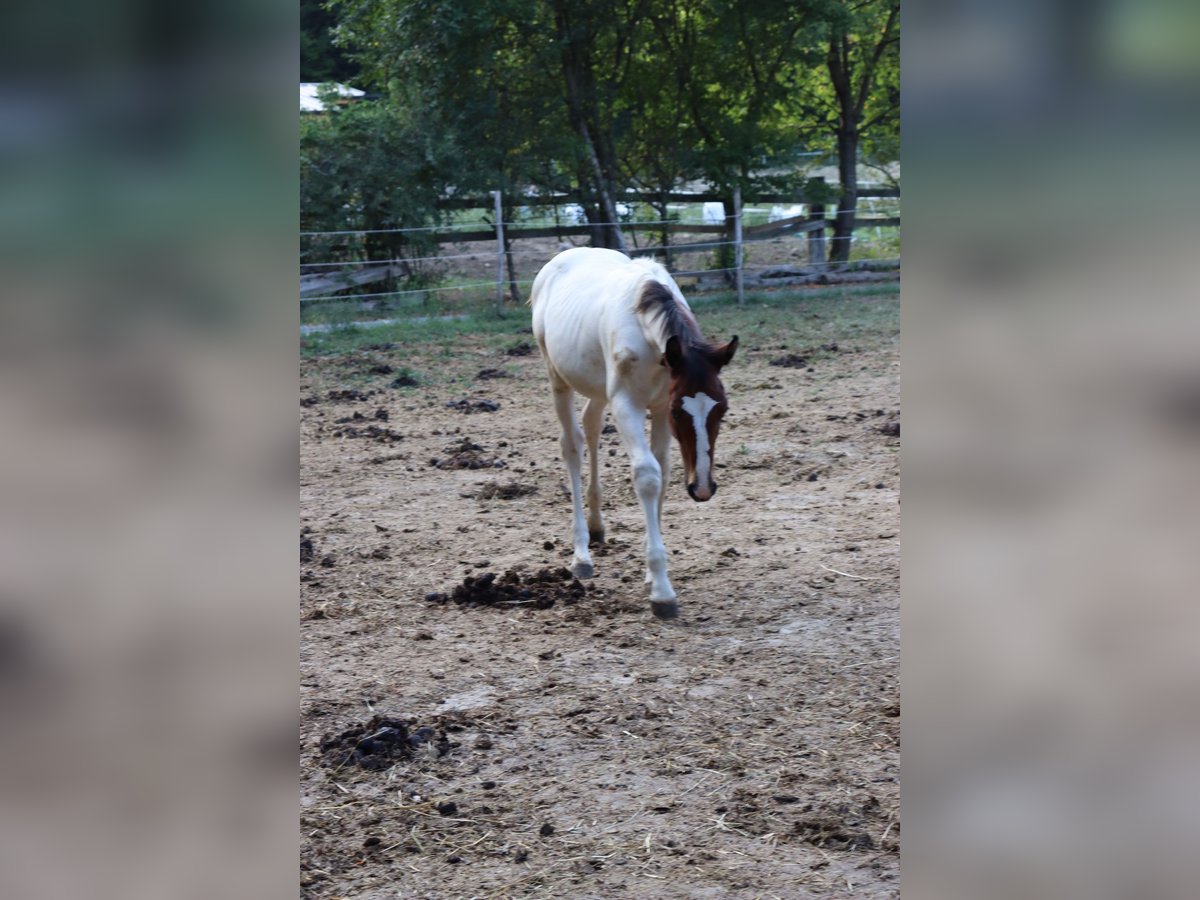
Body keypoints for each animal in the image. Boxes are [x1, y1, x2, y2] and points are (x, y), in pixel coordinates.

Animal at [532, 247, 734, 619]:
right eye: (679, 411)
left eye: (722, 408)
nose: (702, 488)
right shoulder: (630, 405)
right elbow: (647, 475)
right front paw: (662, 592)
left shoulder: (657, 406)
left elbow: (663, 472)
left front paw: (652, 576)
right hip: (558, 380)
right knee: (572, 446)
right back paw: (581, 553)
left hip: (598, 387)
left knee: (591, 426)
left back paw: (597, 527)